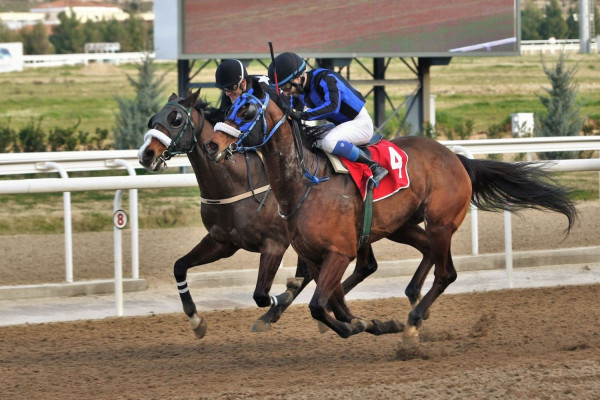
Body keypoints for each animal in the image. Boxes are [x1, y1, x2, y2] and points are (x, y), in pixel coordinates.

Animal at [138, 90, 406, 338]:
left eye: (176, 119)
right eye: (153, 119)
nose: (146, 154)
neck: (236, 183)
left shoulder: (275, 244)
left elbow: (262, 294)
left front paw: (280, 301)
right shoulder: (222, 242)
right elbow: (179, 266)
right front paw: (196, 320)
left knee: (350, 269)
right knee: (365, 266)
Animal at [202, 81, 576, 346]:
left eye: (247, 110)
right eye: (228, 105)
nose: (211, 145)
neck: (305, 182)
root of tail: (456, 158)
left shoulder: (340, 252)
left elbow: (319, 305)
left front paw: (362, 325)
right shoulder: (316, 256)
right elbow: (332, 302)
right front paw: (368, 322)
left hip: (441, 223)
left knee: (446, 274)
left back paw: (413, 323)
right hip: (402, 226)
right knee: (426, 254)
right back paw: (412, 301)